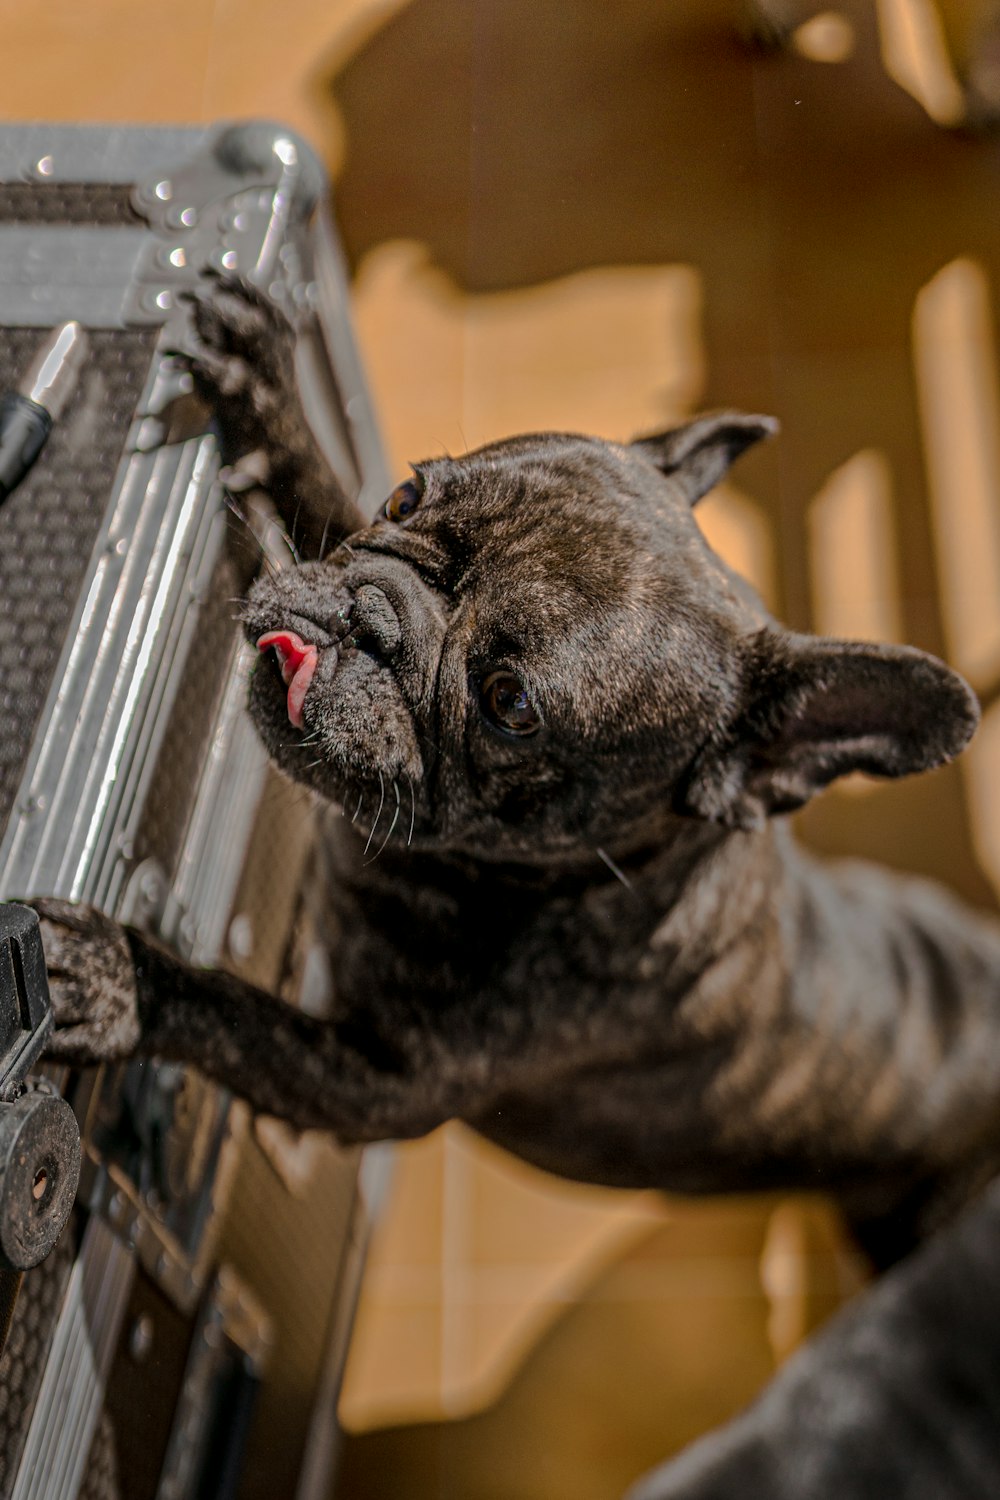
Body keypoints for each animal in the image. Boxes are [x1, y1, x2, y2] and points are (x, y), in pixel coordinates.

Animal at [35, 276, 1000, 1494]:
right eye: (406, 489)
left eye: (510, 703)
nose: (370, 615)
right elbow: (322, 493)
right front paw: (275, 403)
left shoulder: (371, 1085)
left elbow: (232, 1014)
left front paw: (107, 976)